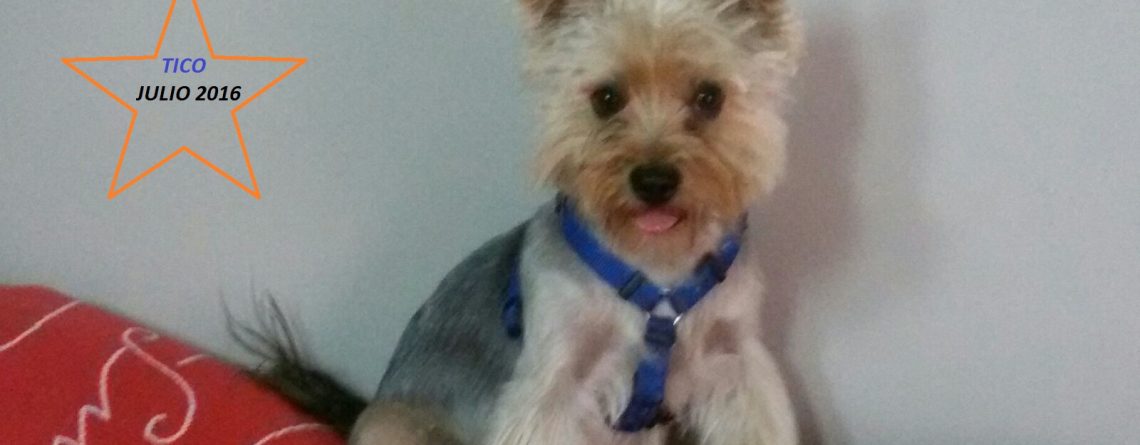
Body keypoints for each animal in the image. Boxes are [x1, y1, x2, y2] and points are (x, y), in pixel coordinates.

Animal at [245, 0, 804, 444]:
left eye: (710, 97)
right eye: (606, 98)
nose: (654, 180)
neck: (656, 266)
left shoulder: (735, 364)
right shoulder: (551, 387)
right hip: (399, 426)